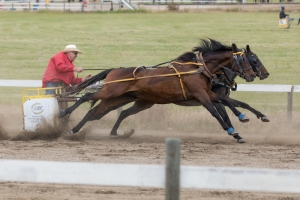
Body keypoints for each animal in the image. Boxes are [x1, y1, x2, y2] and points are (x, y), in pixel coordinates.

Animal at [61, 39, 255, 138]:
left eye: (250, 59)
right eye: (244, 60)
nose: (253, 75)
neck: (199, 68)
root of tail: (115, 69)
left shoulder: (206, 93)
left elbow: (225, 101)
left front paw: (242, 116)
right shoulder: (201, 95)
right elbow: (216, 111)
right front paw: (232, 130)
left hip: (120, 98)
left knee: (95, 112)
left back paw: (80, 130)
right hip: (111, 91)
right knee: (86, 98)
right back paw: (65, 115)